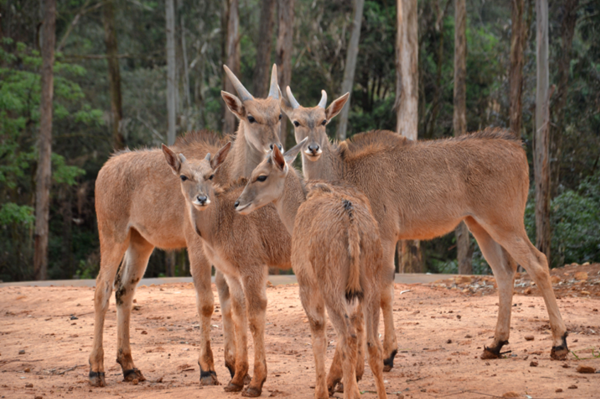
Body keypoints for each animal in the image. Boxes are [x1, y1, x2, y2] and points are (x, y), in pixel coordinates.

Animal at [162, 141, 292, 396]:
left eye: (210, 175)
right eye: (184, 176)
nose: (202, 199)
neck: (221, 220)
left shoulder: (253, 267)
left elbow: (255, 316)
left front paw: (256, 382)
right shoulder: (233, 273)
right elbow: (238, 313)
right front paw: (237, 378)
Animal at [234, 145, 390, 399]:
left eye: (261, 176)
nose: (238, 204)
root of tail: (351, 222)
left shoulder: (307, 286)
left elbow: (318, 334)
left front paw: (321, 391)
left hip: (331, 290)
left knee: (347, 337)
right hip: (370, 288)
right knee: (371, 343)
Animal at [282, 87, 568, 362]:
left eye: (324, 121)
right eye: (296, 122)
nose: (313, 148)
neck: (347, 170)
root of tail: (516, 147)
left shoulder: (386, 235)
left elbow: (384, 290)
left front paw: (388, 354)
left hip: (505, 222)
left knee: (538, 262)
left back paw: (559, 342)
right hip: (479, 225)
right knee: (504, 271)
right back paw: (496, 345)